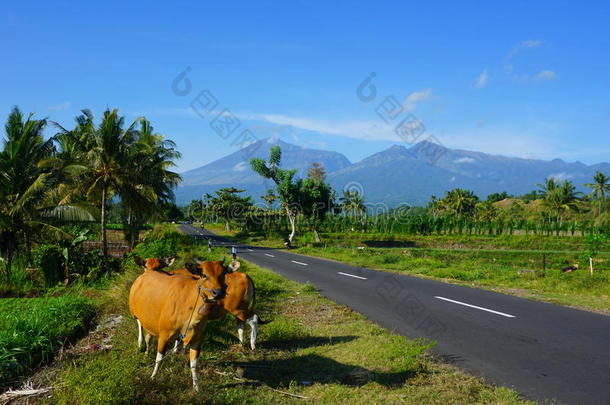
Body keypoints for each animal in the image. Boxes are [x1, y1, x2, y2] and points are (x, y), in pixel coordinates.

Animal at [128, 258, 228, 390]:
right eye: (204, 275)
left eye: (223, 274)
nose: (218, 292)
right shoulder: (164, 335)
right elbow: (159, 359)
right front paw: (153, 377)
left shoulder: (197, 339)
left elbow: (194, 365)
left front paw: (197, 387)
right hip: (133, 311)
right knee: (139, 324)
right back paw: (140, 344)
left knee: (148, 336)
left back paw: (146, 353)